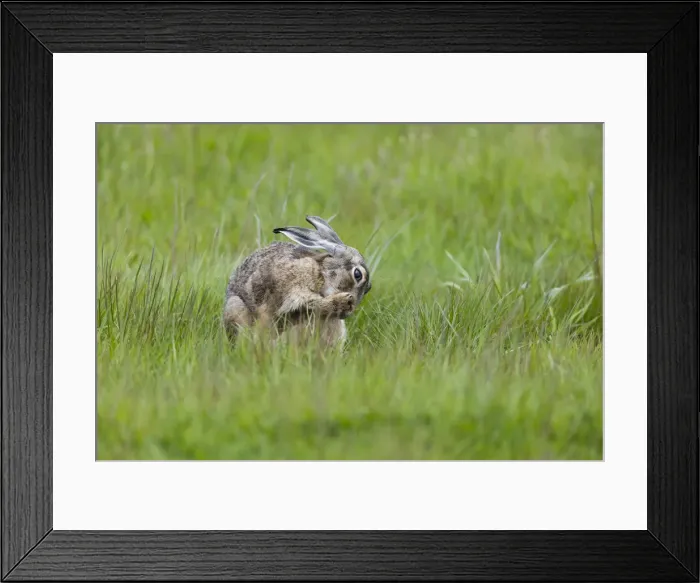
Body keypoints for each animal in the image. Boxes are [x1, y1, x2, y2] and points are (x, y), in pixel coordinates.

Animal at [223, 215, 372, 347]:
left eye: (369, 288)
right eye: (357, 274)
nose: (347, 313)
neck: (322, 272)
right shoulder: (297, 284)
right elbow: (308, 303)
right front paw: (344, 301)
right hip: (236, 308)